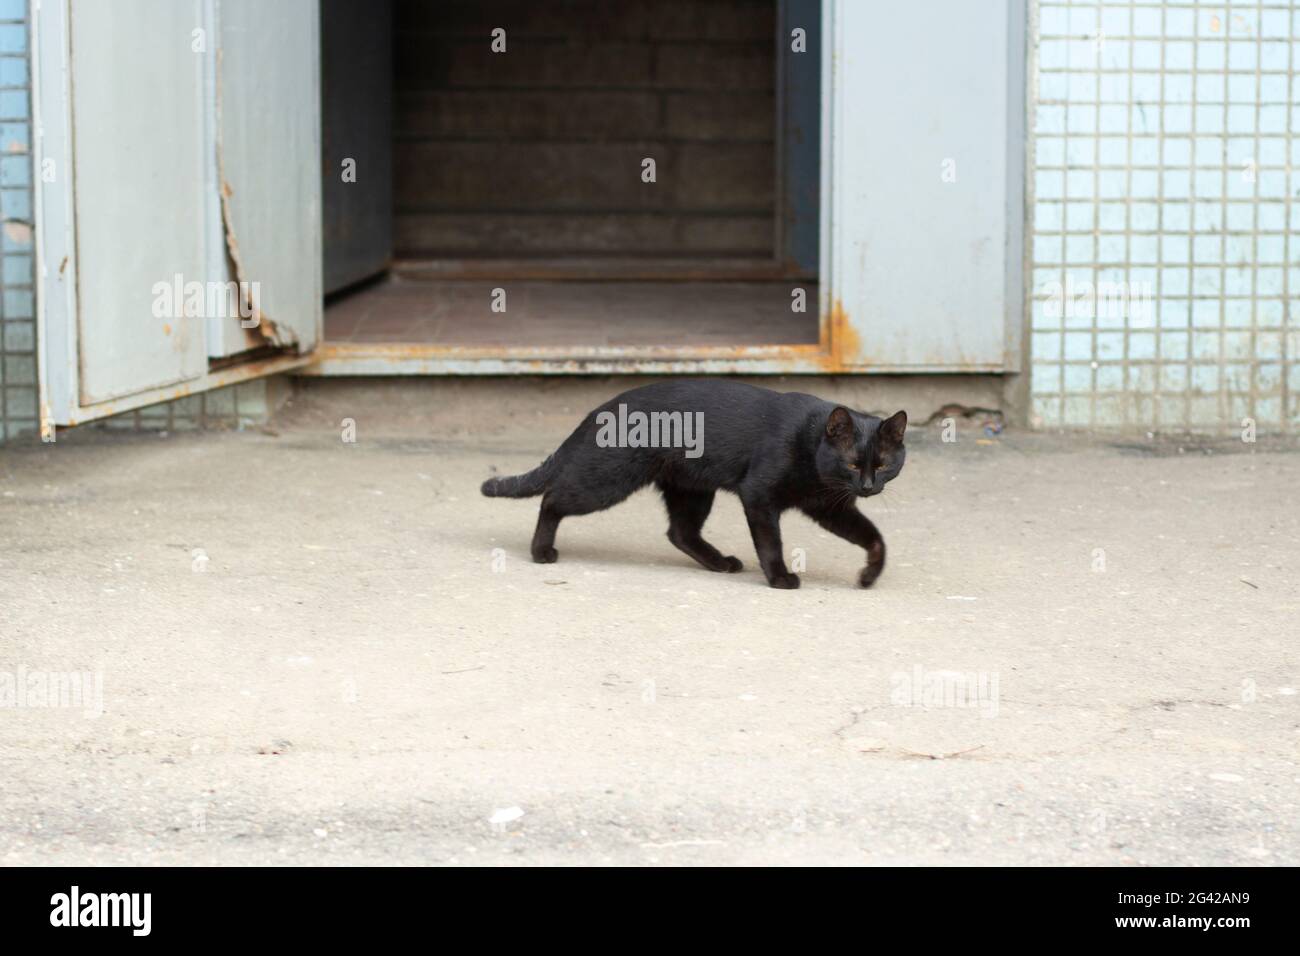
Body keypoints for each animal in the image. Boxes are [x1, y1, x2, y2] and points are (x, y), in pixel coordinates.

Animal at [483, 377, 909, 587]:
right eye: (852, 464)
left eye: (883, 464)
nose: (868, 486)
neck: (810, 443)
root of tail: (599, 410)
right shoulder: (758, 495)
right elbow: (770, 542)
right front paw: (780, 578)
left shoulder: (830, 507)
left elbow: (874, 537)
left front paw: (869, 575)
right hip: (606, 481)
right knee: (552, 499)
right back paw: (541, 552)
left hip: (692, 489)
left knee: (680, 532)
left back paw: (720, 563)